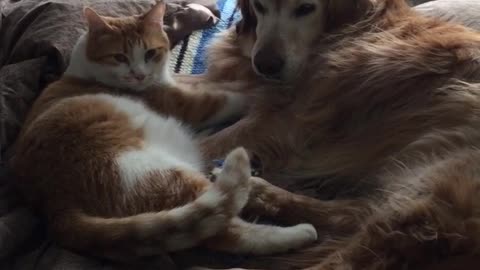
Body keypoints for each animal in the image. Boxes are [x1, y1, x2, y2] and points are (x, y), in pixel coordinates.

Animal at [8, 1, 318, 266]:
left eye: (150, 53)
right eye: (119, 57)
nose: (139, 75)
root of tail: (56, 209)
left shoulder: (180, 83)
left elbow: (210, 82)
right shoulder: (187, 104)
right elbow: (227, 96)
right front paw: (266, 90)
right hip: (159, 174)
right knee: (225, 228)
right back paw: (298, 233)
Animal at [173, 0, 480, 268]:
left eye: (306, 8)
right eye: (260, 6)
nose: (266, 65)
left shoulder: (283, 124)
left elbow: (205, 143)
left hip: (434, 198)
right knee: (354, 213)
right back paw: (258, 192)